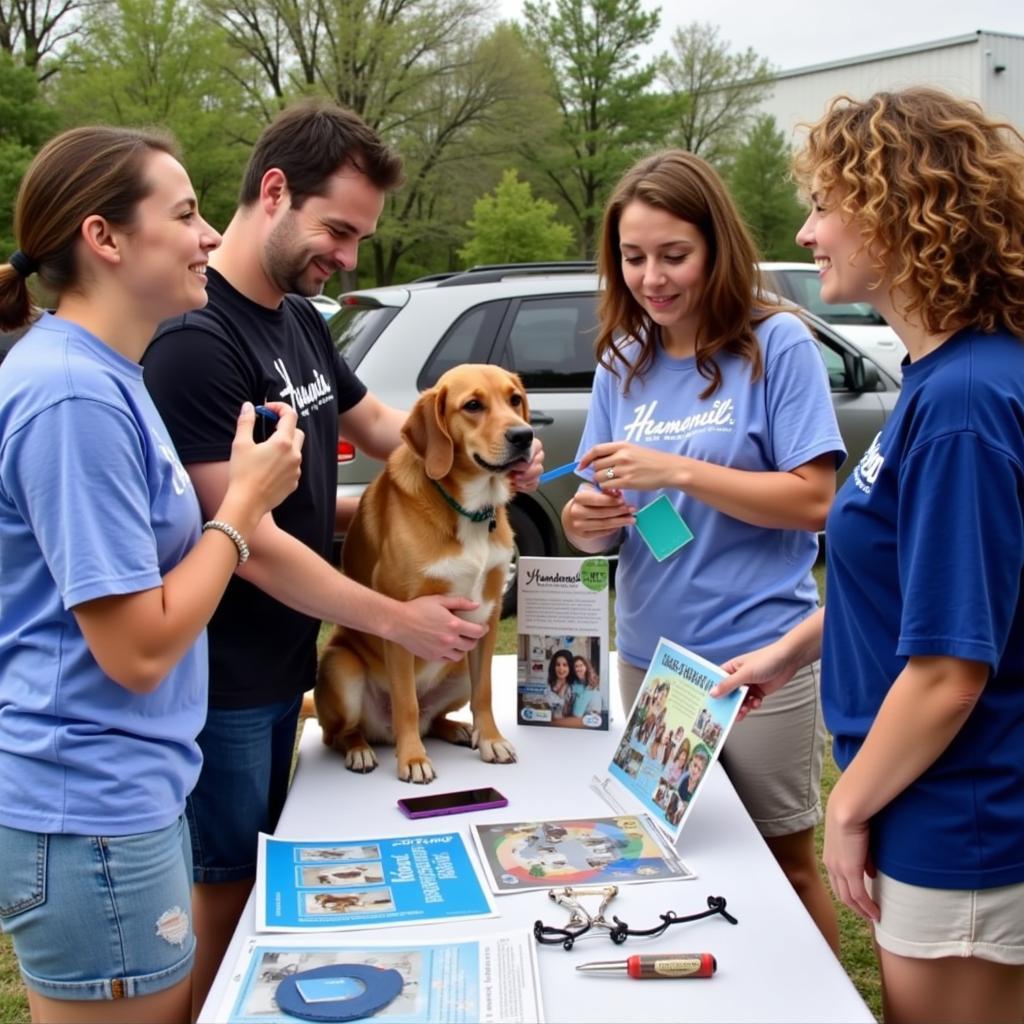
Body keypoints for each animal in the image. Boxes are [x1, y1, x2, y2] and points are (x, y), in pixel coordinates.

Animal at [315, 366, 532, 782]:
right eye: (473, 405)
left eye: (514, 399)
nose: (525, 436)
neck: (469, 511)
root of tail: (380, 732)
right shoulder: (404, 622)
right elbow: (406, 704)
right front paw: (413, 759)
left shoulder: (487, 616)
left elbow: (484, 693)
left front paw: (491, 739)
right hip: (341, 669)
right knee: (339, 734)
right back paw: (361, 750)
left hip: (459, 669)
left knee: (434, 719)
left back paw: (459, 729)